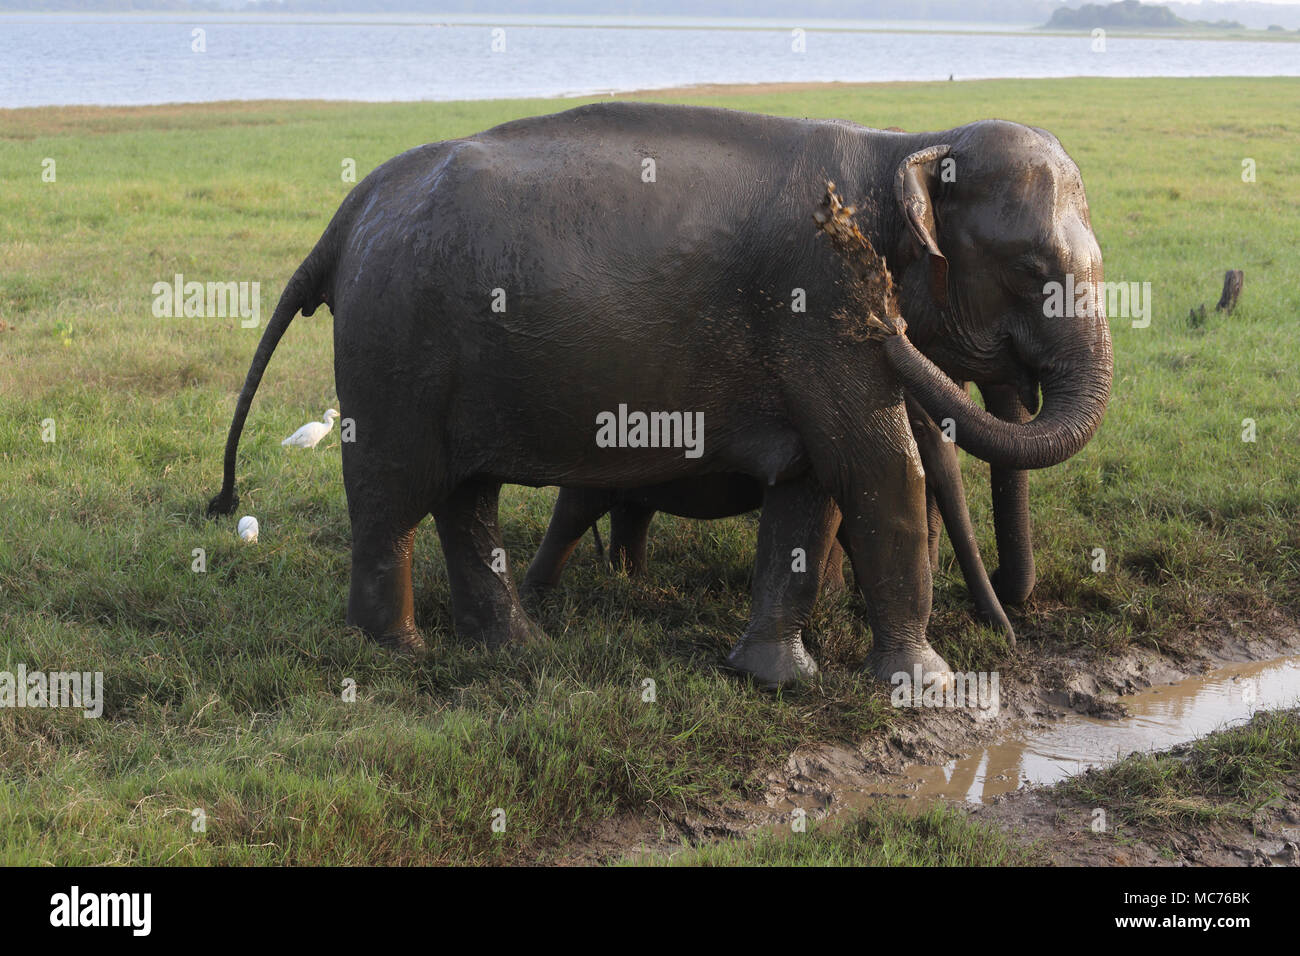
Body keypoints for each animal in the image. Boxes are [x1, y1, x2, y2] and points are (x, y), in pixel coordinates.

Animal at [205, 102, 1107, 686]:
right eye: (1031, 269)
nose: (1011, 633)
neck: (908, 143)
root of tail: (352, 209)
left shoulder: (811, 340)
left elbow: (812, 484)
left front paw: (774, 679)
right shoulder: (813, 306)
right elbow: (875, 469)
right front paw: (924, 688)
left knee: (466, 499)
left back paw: (514, 651)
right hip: (392, 341)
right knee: (394, 496)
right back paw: (396, 654)